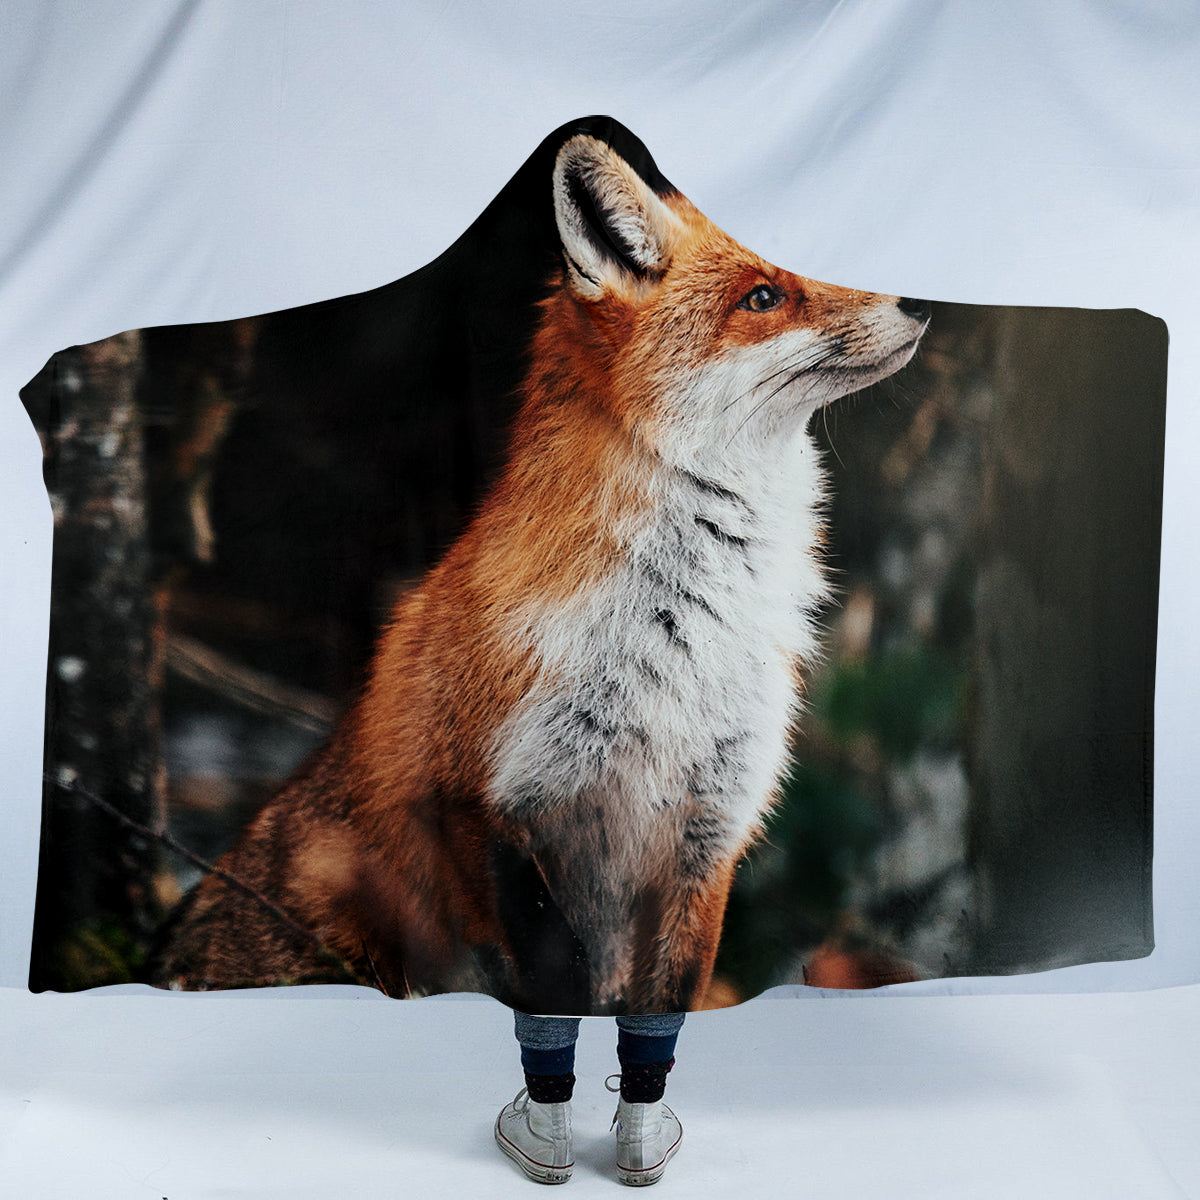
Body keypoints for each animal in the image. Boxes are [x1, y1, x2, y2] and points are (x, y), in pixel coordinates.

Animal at [155, 130, 930, 1014]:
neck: (681, 635)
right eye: (763, 297)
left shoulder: (706, 833)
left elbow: (663, 1004)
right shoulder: (482, 809)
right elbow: (557, 987)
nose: (918, 297)